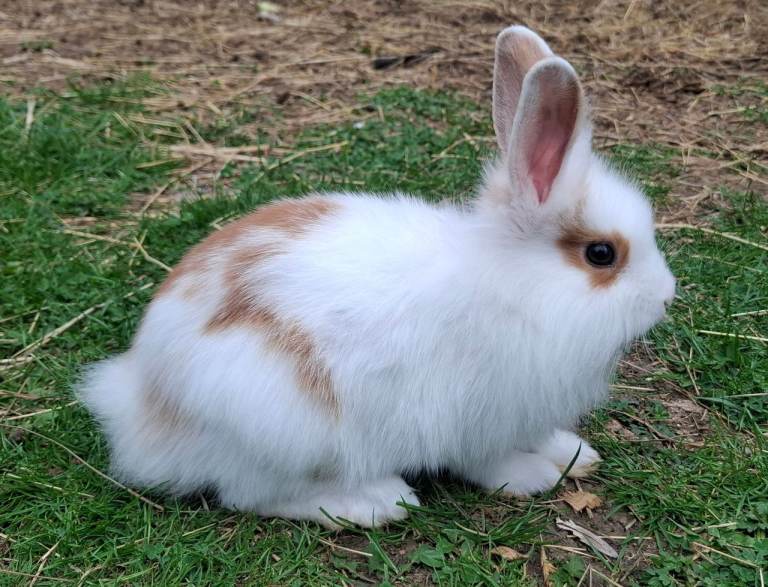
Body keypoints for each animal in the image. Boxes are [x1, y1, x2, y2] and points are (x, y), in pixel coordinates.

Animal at [79, 25, 676, 528]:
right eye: (602, 254)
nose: (666, 297)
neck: (516, 287)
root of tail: (142, 404)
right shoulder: (477, 419)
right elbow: (489, 460)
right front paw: (532, 476)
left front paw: (572, 452)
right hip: (282, 430)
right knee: (251, 494)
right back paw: (376, 501)